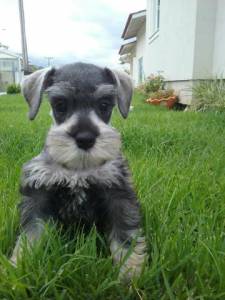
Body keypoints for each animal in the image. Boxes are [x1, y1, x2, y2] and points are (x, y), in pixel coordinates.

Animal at [11, 62, 148, 280]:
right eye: (60, 105)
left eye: (104, 105)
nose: (85, 139)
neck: (78, 169)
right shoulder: (37, 198)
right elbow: (29, 238)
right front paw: (18, 270)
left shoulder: (119, 196)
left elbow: (125, 239)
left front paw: (130, 276)